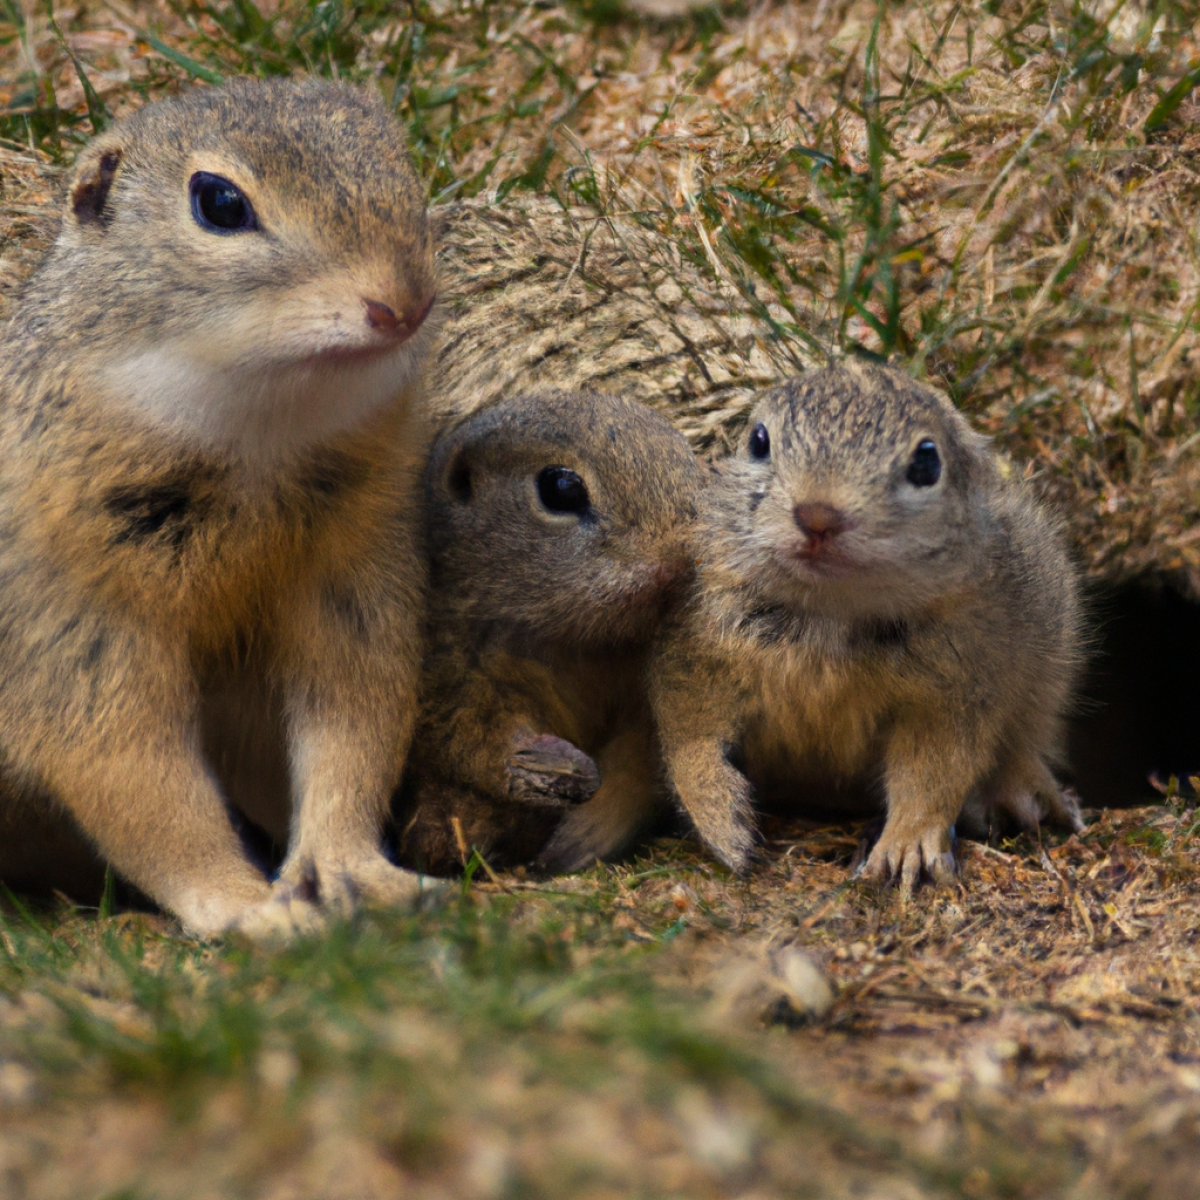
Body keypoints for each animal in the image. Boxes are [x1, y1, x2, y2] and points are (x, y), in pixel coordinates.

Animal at [0, 77, 441, 936]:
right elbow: (148, 792)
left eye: (394, 149)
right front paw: (249, 909)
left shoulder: (352, 586)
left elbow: (353, 727)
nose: (405, 304)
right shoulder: (76, 634)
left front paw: (354, 868)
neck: (255, 445)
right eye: (220, 203)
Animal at [393, 388, 700, 878]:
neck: (569, 642)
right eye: (562, 489)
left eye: (685, 457)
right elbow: (466, 735)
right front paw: (546, 767)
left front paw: (588, 829)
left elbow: (636, 766)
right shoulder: (448, 671)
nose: (677, 559)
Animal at [652, 364, 1084, 892]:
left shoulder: (956, 693)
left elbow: (935, 771)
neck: (832, 612)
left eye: (927, 462)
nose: (818, 515)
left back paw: (1017, 790)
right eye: (758, 440)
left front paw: (908, 839)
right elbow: (687, 731)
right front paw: (714, 808)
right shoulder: (693, 647)